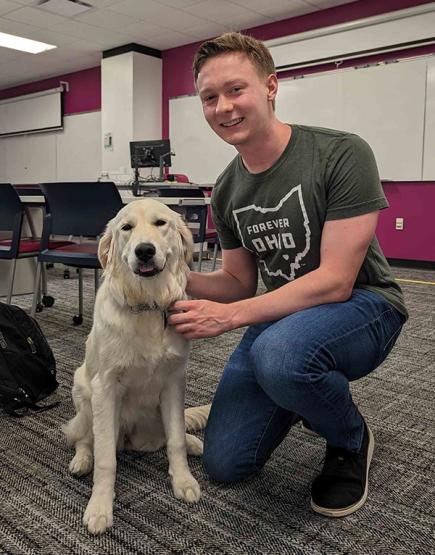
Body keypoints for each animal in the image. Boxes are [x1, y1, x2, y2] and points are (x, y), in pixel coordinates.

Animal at [63, 199, 211, 536]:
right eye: (126, 228)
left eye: (160, 223)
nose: (144, 250)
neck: (148, 305)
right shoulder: (105, 388)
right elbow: (106, 458)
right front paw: (100, 507)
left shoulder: (174, 382)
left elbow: (175, 440)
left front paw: (183, 480)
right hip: (83, 391)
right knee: (84, 438)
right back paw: (82, 461)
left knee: (173, 434)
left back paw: (193, 441)